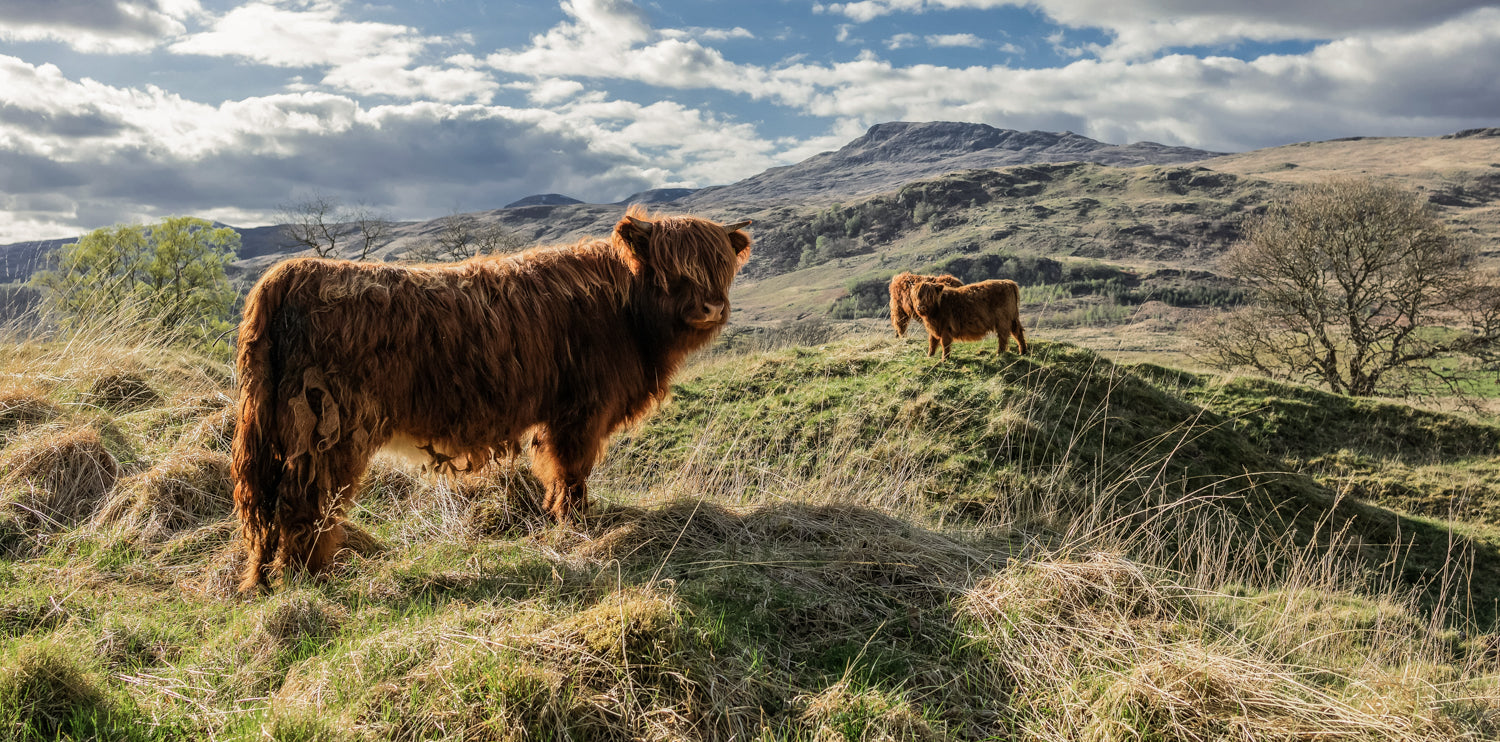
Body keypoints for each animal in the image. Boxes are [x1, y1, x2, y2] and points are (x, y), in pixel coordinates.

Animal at [231, 207, 752, 591]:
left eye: (720, 267)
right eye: (673, 268)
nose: (711, 307)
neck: (625, 311)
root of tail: (292, 272)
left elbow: (559, 472)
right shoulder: (581, 411)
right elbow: (572, 471)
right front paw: (577, 525)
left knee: (272, 506)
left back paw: (271, 579)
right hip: (325, 430)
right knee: (304, 504)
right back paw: (311, 577)